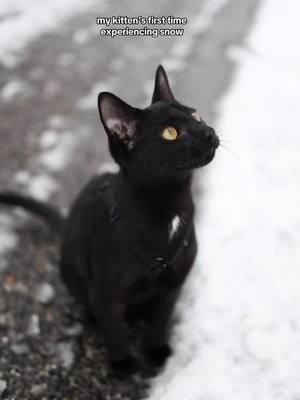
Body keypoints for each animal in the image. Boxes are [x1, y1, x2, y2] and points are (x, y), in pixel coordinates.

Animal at [0, 65, 218, 372]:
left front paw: (155, 351)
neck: (167, 209)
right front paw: (122, 363)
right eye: (171, 133)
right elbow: (113, 330)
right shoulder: (106, 295)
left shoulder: (171, 288)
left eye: (196, 115)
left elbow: (159, 322)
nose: (210, 132)